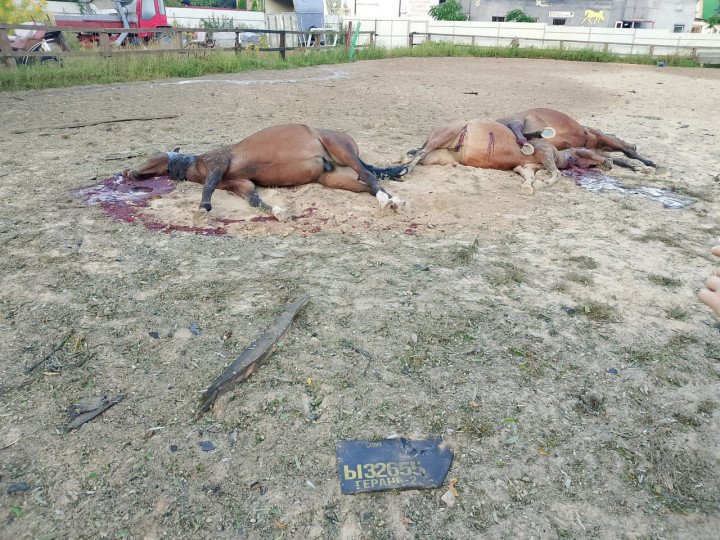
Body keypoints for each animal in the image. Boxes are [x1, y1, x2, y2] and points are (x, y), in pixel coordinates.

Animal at [124, 124, 408, 220]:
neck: (198, 163)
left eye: (152, 158)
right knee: (366, 182)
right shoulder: (240, 184)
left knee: (368, 176)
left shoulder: (217, 165)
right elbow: (253, 199)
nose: (129, 173)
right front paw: (279, 212)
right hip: (331, 177)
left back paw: (388, 201)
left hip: (343, 152)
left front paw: (203, 209)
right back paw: (393, 196)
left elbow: (208, 188)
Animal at [403, 120, 612, 194]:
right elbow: (556, 174)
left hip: (439, 155)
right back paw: (404, 171)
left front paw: (529, 186)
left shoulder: (524, 167)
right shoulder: (546, 152)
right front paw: (542, 183)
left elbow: (529, 176)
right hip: (448, 133)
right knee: (419, 153)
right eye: (590, 152)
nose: (609, 163)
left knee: (417, 154)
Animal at [496, 108, 658, 171]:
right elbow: (628, 154)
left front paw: (634, 166)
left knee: (524, 134)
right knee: (518, 130)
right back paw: (532, 140)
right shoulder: (602, 138)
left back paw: (538, 135)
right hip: (517, 120)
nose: (633, 145)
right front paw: (649, 164)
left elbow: (620, 160)